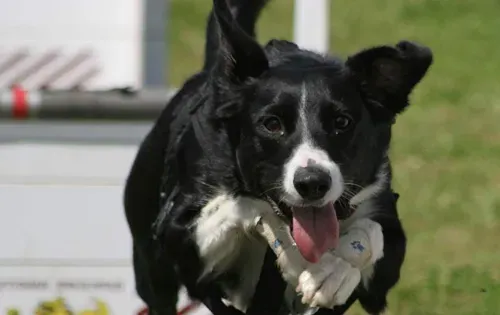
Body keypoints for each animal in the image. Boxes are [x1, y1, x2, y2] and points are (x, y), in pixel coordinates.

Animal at [123, 0, 432, 314]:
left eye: (342, 122)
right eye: (272, 124)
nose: (312, 183)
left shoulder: (382, 263)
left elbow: (374, 230)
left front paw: (333, 271)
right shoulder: (178, 233)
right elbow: (243, 205)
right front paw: (296, 255)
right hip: (151, 266)